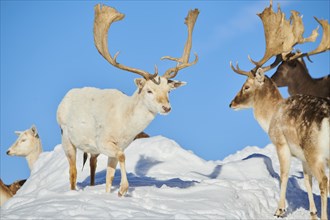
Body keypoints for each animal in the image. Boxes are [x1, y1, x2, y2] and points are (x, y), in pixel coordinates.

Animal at [56, 3, 199, 196]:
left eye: (169, 91)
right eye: (149, 90)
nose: (166, 107)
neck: (124, 125)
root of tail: (63, 100)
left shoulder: (120, 146)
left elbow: (109, 176)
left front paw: (112, 193)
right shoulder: (103, 141)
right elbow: (122, 157)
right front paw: (123, 188)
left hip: (90, 150)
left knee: (92, 164)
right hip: (66, 138)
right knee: (73, 171)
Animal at [229, 0, 330, 219]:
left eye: (246, 86)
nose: (231, 103)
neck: (271, 115)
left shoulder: (281, 143)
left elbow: (284, 174)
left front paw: (279, 209)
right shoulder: (302, 156)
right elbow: (307, 181)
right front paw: (312, 212)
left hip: (315, 150)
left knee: (324, 182)